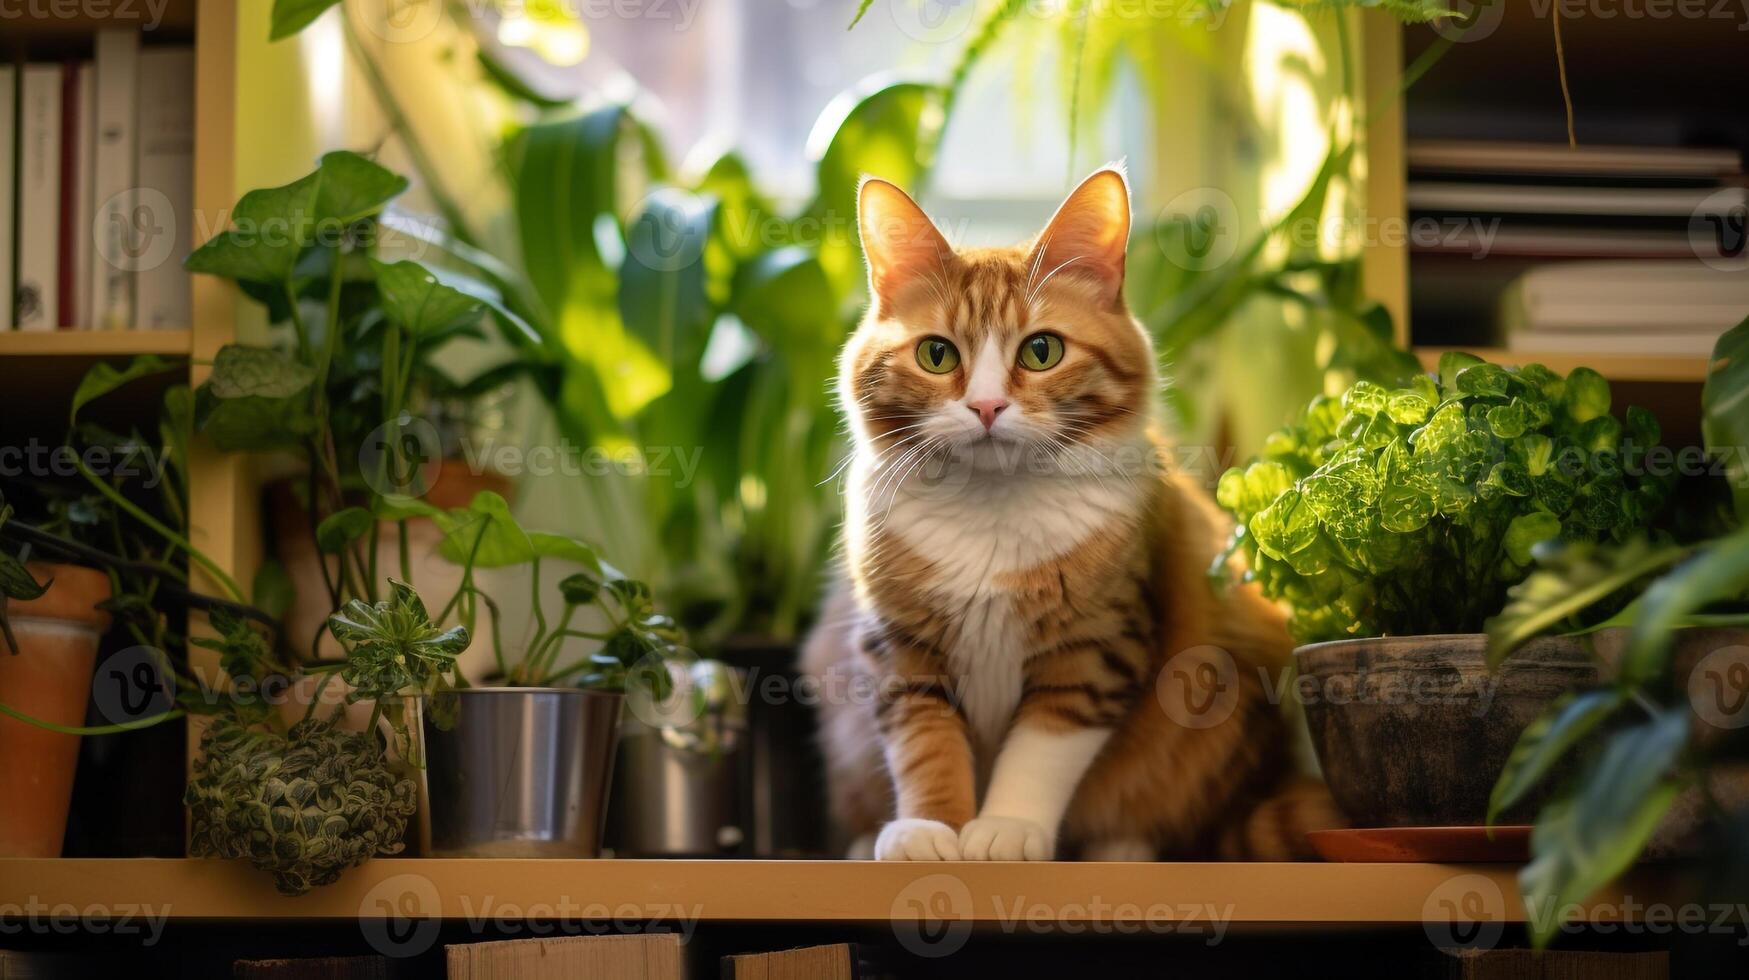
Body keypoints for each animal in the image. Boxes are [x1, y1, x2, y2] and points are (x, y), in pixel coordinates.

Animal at [801, 164, 1336, 861]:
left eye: (1041, 351)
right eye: (937, 355)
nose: (987, 407)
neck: (991, 514)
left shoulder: (1095, 649)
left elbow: (1039, 752)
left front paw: (1006, 829)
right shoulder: (902, 648)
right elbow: (924, 746)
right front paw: (931, 829)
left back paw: (1121, 852)